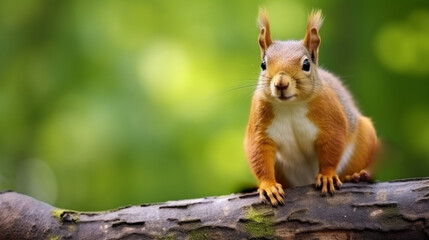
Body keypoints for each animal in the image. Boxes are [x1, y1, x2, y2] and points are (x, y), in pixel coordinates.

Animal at [244, 8, 378, 205]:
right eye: (263, 64)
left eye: (306, 64)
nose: (281, 84)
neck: (290, 106)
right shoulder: (259, 120)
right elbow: (258, 151)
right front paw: (268, 186)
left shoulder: (330, 116)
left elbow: (332, 145)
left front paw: (327, 176)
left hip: (364, 141)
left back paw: (356, 176)